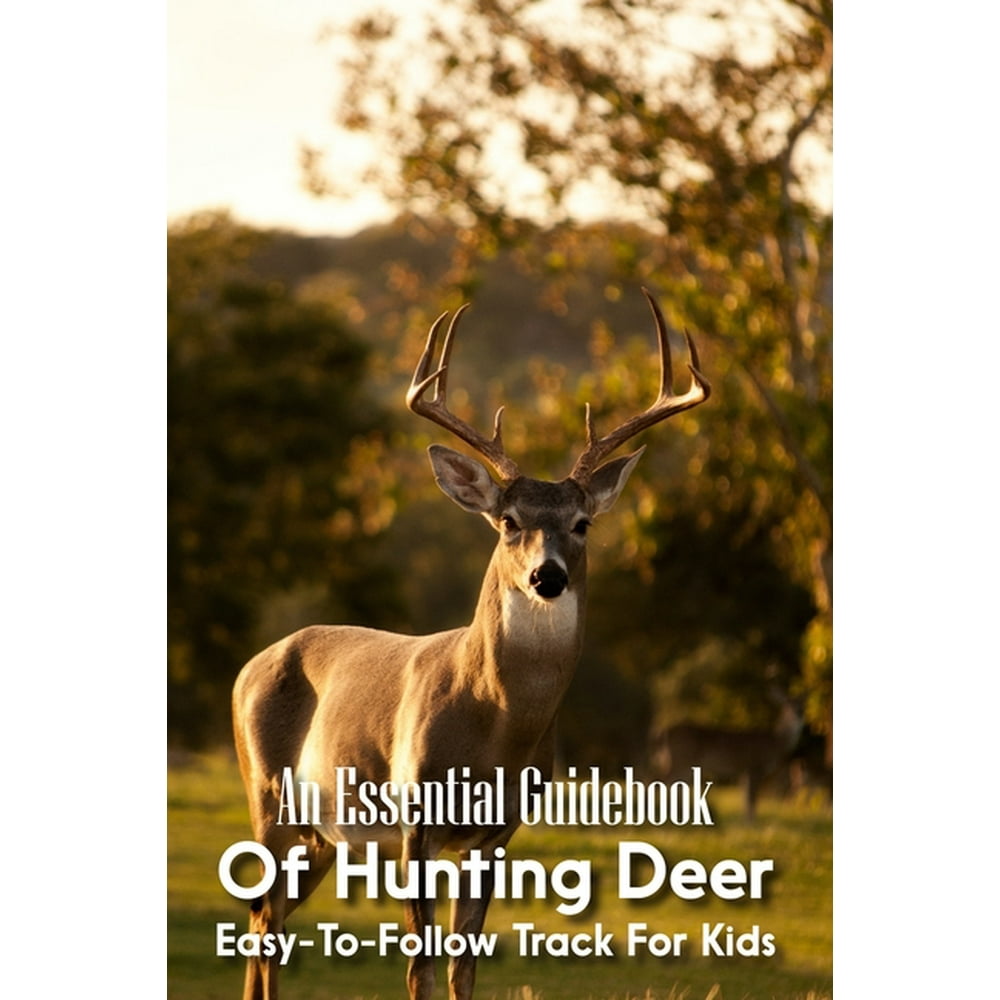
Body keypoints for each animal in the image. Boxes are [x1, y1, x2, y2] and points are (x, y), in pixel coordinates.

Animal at [231, 288, 710, 1000]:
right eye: (508, 521)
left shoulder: (496, 833)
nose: (547, 576)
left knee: (269, 925)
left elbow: (464, 964)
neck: (493, 730)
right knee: (263, 924)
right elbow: (421, 964)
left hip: (320, 836)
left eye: (582, 523)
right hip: (267, 796)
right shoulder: (414, 818)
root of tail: (250, 666)